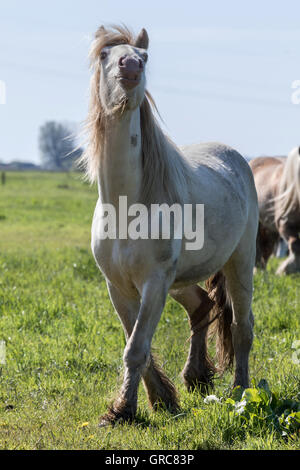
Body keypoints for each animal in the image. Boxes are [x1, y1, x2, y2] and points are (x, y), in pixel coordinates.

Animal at [81, 24, 258, 426]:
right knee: (202, 307)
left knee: (241, 326)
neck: (125, 206)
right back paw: (196, 376)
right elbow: (136, 343)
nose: (130, 66)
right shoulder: (119, 287)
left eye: (144, 57)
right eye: (105, 55)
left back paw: (239, 391)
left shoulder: (154, 282)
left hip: (239, 263)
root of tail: (235, 157)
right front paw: (160, 400)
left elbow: (136, 347)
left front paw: (124, 410)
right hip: (181, 280)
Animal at [250, 145, 300, 274]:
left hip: (269, 228)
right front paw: (286, 269)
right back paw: (259, 270)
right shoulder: (284, 222)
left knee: (267, 247)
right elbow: (295, 244)